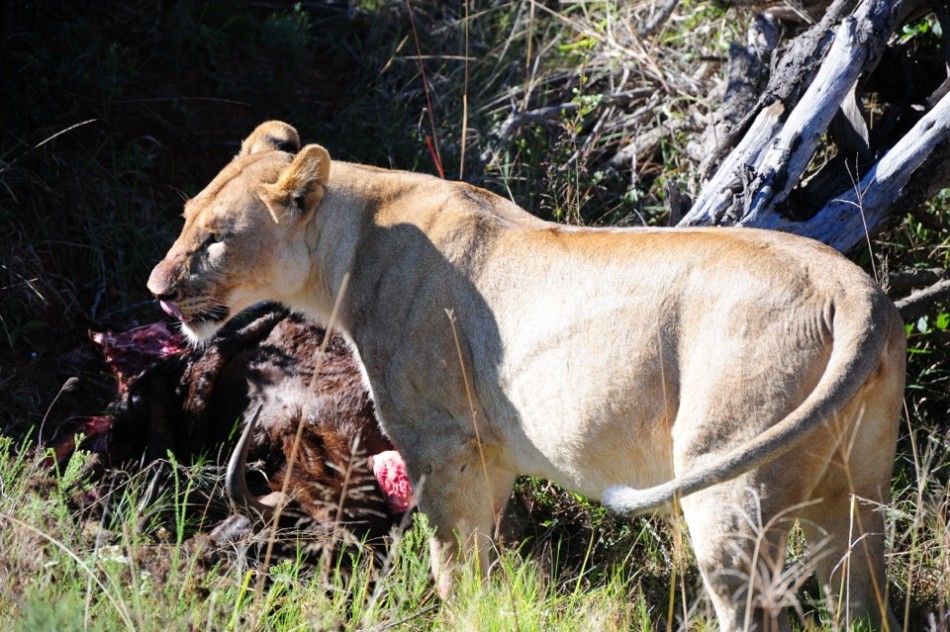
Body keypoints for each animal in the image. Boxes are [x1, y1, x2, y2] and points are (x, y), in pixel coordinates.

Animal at [148, 121, 905, 631]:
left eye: (216, 237)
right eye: (184, 219)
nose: (157, 288)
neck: (350, 246)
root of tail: (853, 290)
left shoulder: (443, 447)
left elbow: (454, 571)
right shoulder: (491, 454)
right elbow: (488, 564)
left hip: (730, 486)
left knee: (754, 607)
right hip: (857, 490)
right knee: (865, 597)